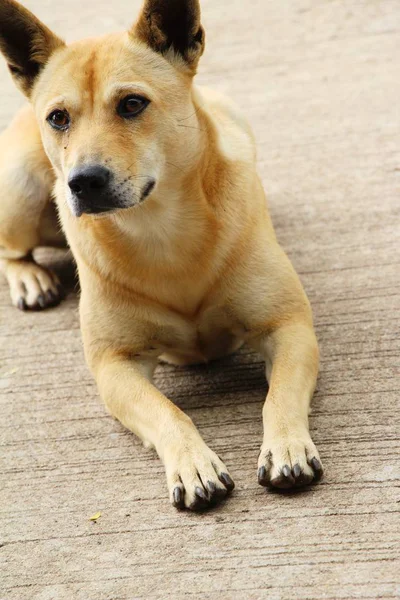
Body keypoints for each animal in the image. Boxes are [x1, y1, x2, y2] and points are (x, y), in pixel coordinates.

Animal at [0, 0, 322, 510]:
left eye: (132, 104)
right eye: (58, 118)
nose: (82, 181)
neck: (160, 231)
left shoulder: (289, 328)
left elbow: (280, 395)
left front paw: (287, 445)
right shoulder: (115, 366)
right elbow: (167, 411)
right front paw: (193, 464)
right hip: (20, 185)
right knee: (10, 248)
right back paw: (30, 278)